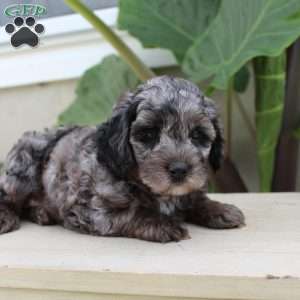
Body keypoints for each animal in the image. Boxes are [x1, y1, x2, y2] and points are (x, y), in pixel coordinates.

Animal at [0, 76, 245, 243]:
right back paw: (8, 217)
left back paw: (41, 213)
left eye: (197, 135)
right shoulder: (93, 211)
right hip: (22, 171)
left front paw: (220, 209)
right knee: (8, 196)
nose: (180, 170)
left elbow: (195, 199)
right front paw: (162, 224)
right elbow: (133, 213)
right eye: (149, 134)